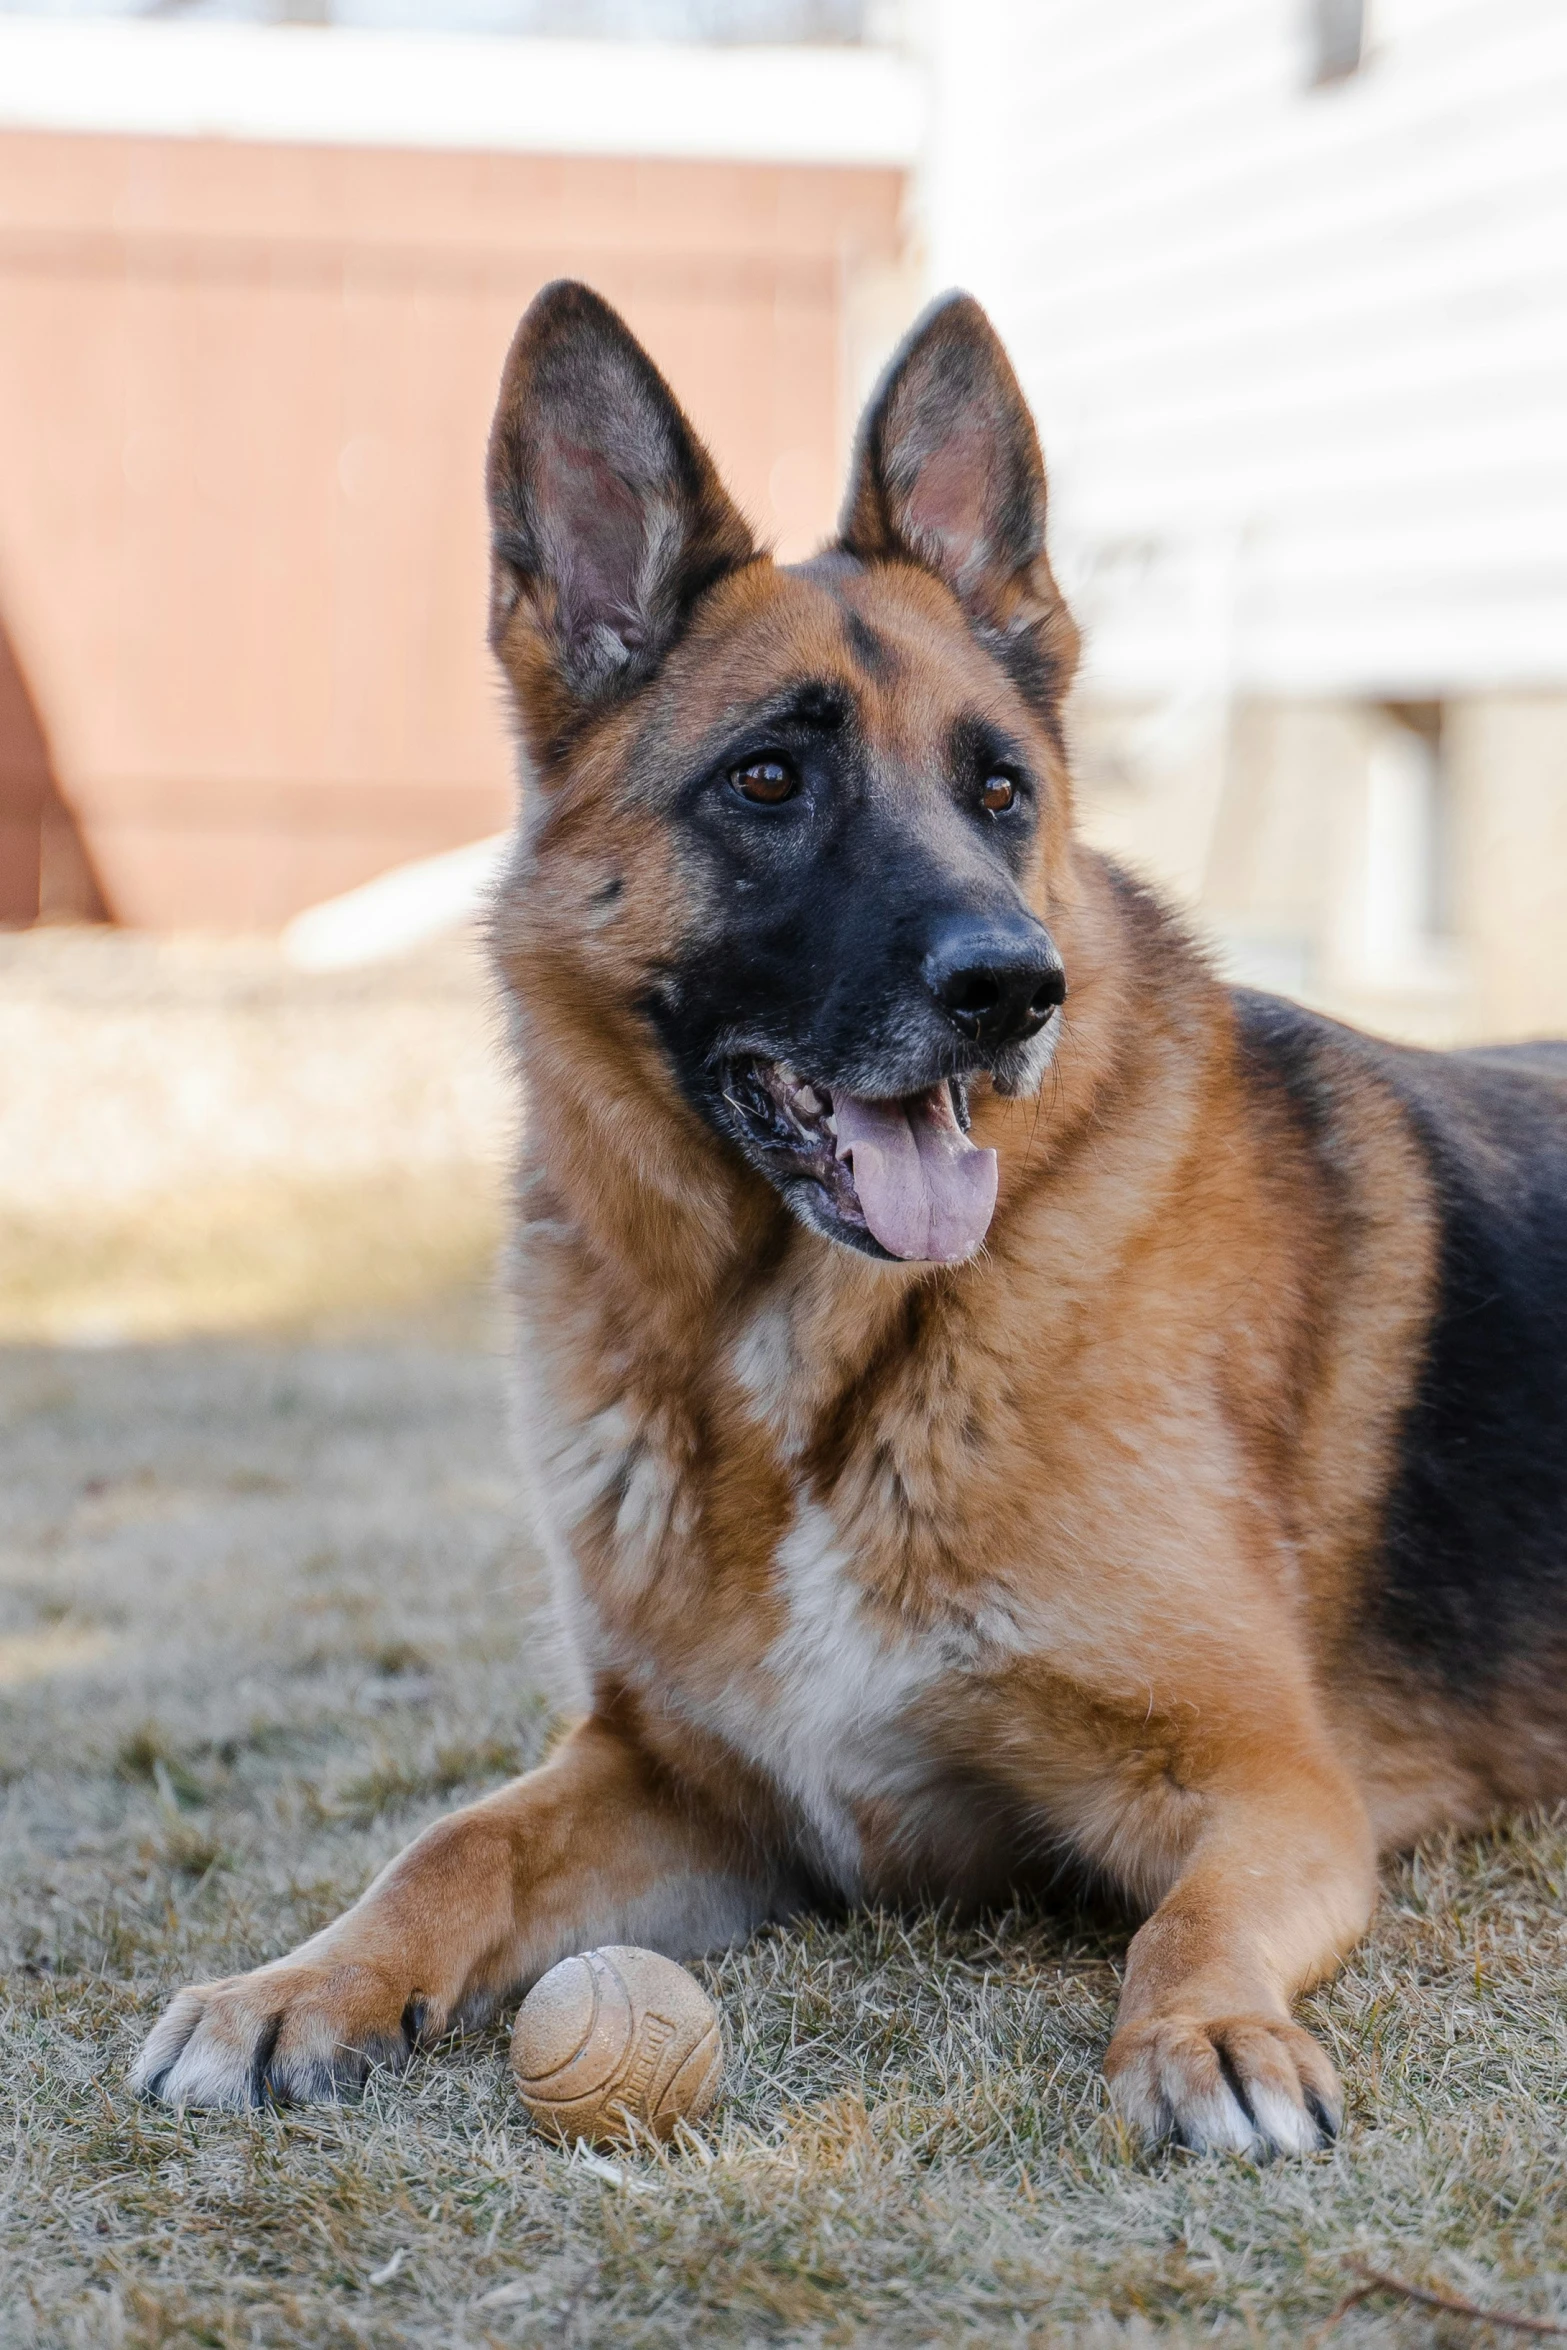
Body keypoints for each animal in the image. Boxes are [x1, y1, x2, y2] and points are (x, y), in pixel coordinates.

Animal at [138, 284, 1567, 2152]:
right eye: (765, 782)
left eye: (1000, 791)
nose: (1011, 990)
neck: (818, 1371)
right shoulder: (679, 1783)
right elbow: (449, 1839)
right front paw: (295, 1986)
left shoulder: (1267, 1788)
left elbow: (1184, 1924)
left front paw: (1208, 2034)